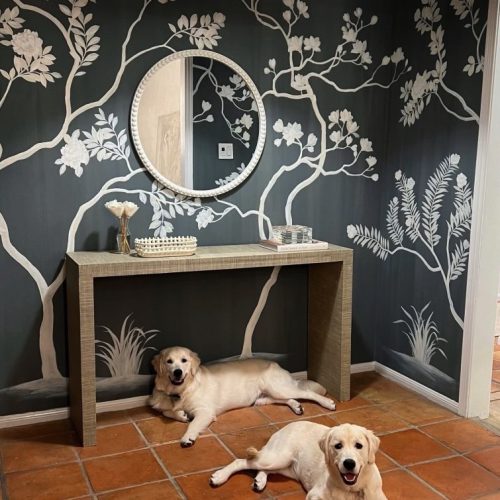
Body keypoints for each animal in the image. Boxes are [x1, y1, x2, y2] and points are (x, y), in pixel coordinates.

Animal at [149, 346, 337, 447]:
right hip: (265, 396)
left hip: (279, 387)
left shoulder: (205, 411)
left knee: (308, 393)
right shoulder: (162, 402)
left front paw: (187, 437)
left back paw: (328, 403)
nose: (177, 372)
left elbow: (193, 424)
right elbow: (166, 411)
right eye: (169, 361)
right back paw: (296, 406)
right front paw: (181, 414)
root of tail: (276, 364)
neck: (181, 390)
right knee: (284, 398)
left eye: (184, 360)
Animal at [210, 421, 387, 500]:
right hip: (277, 457)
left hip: (286, 467)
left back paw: (259, 481)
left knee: (262, 468)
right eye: (338, 446)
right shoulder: (314, 496)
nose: (349, 463)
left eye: (359, 445)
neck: (351, 490)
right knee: (243, 461)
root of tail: (289, 424)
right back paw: (219, 477)